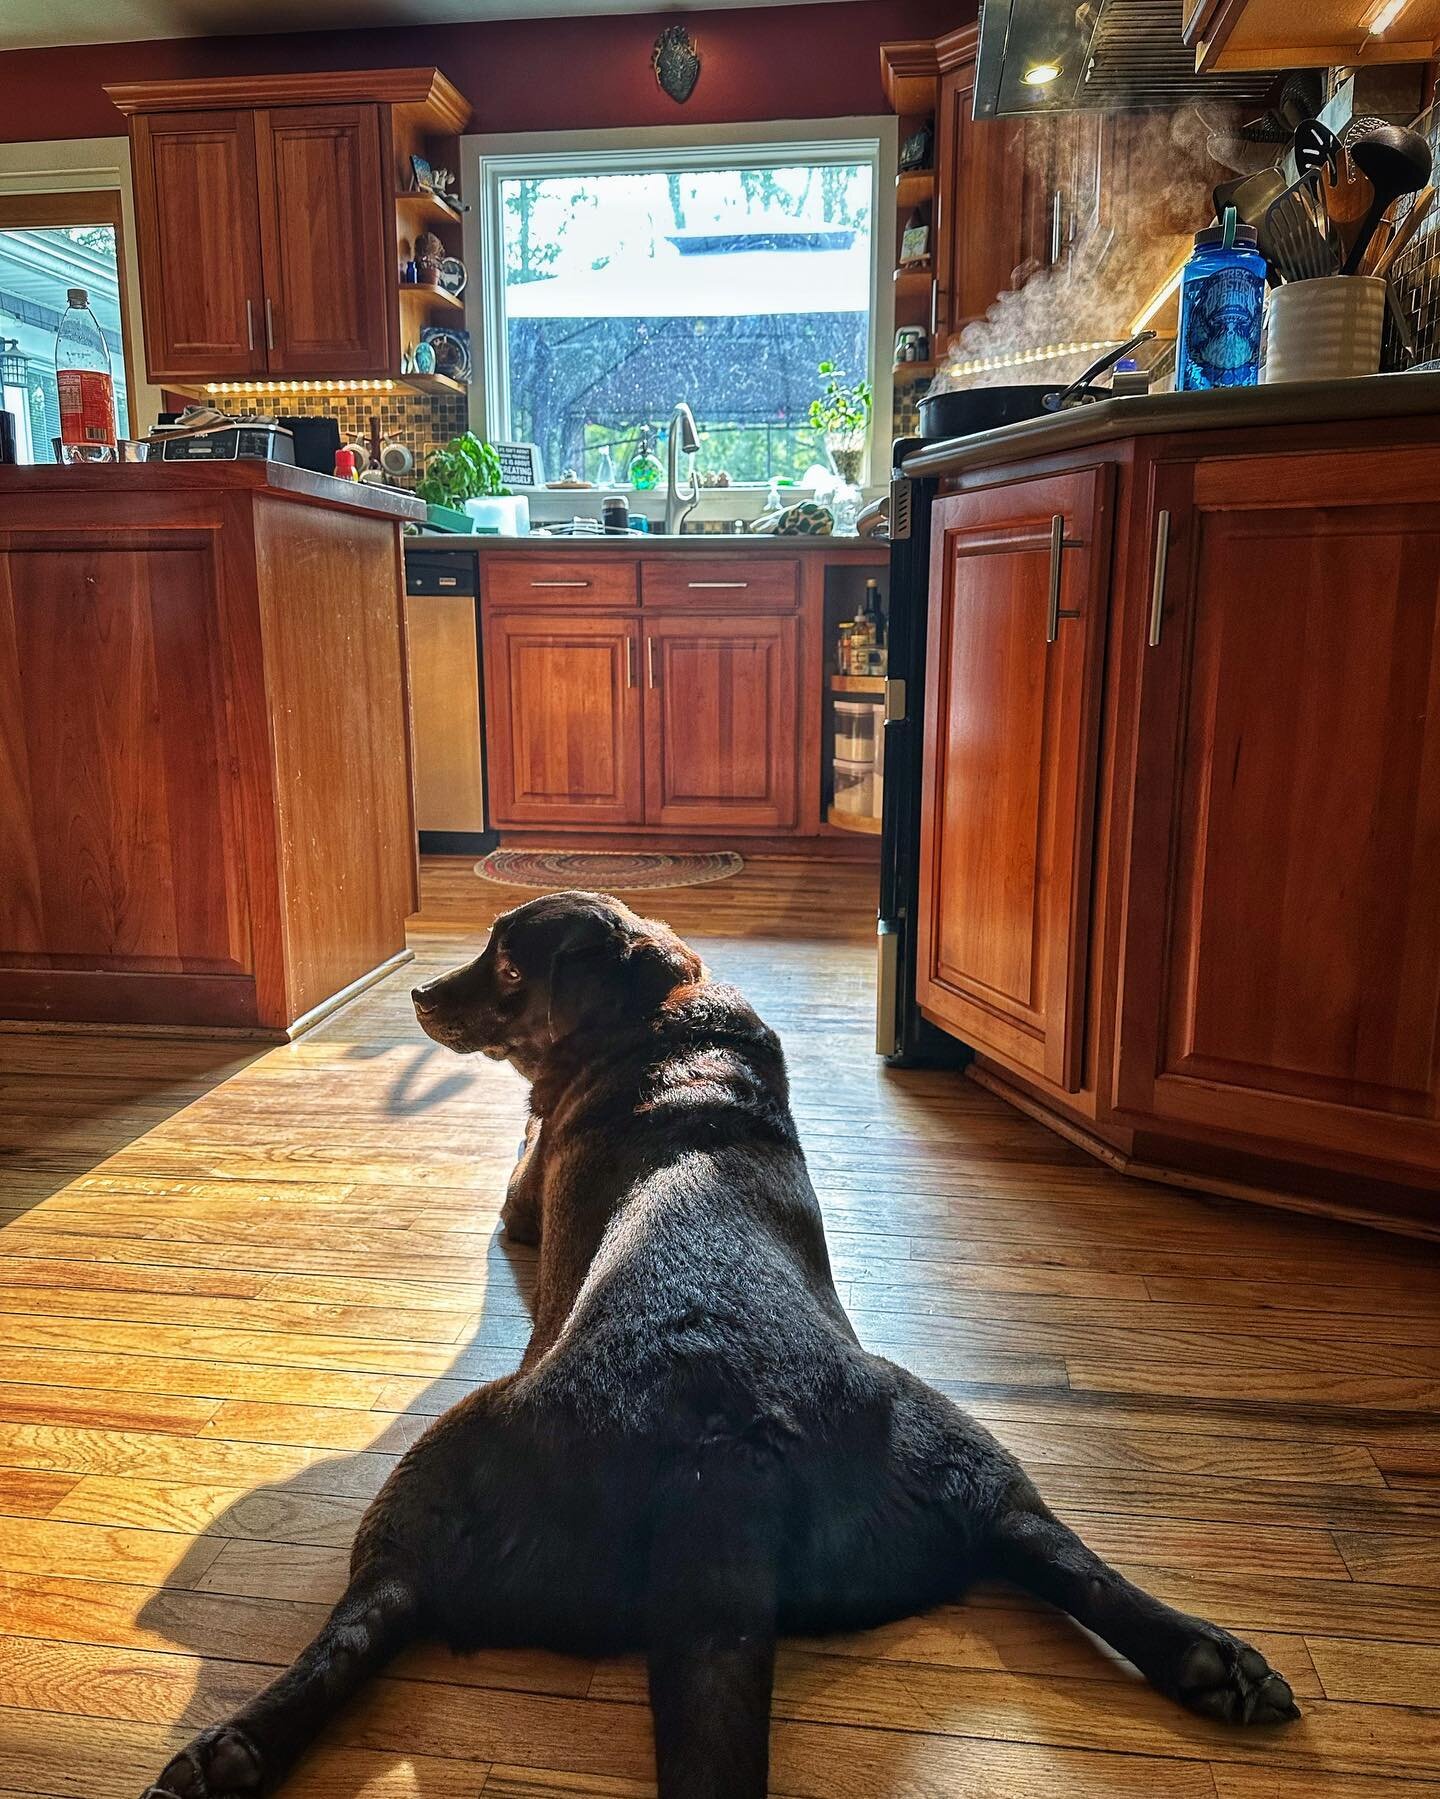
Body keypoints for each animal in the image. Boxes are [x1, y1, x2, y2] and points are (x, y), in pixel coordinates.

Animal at [140, 888, 1296, 1799]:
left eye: (505, 960)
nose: (420, 993)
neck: (665, 1032)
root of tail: (719, 1463)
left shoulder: (518, 1199)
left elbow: (518, 1154)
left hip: (433, 1469)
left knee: (370, 1608)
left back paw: (234, 1746)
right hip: (958, 1452)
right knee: (1051, 1547)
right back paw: (1211, 1657)